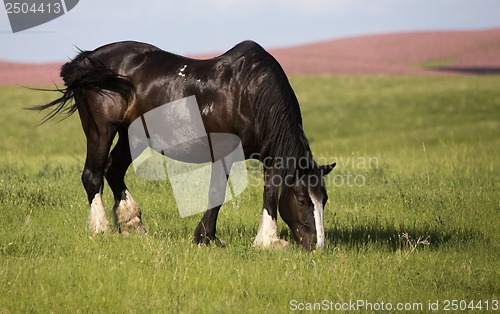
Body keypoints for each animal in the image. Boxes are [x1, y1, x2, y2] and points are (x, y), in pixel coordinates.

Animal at [31, 39, 336, 250]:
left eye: (324, 199)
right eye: (301, 200)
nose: (317, 246)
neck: (249, 94)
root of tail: (88, 60)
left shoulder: (269, 157)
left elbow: (268, 189)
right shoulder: (224, 153)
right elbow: (217, 192)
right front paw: (211, 238)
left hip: (132, 135)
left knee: (113, 171)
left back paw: (132, 224)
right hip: (101, 130)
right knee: (92, 175)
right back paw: (102, 228)